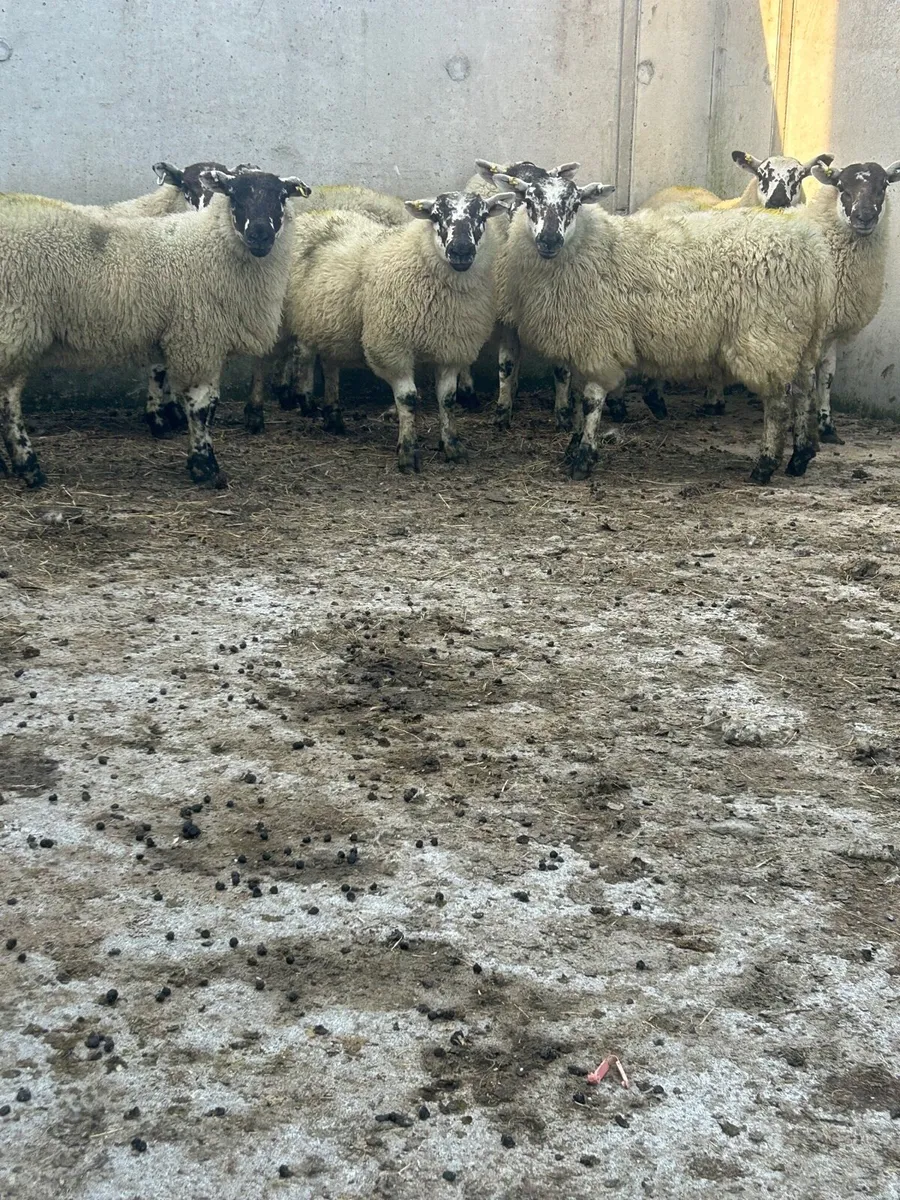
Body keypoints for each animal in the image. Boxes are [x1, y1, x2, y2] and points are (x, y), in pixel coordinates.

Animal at [0, 169, 309, 488]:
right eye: (234, 195)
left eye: (281, 196)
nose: (259, 234)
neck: (210, 246)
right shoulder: (197, 337)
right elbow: (202, 406)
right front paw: (205, 467)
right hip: (16, 326)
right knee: (9, 401)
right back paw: (28, 467)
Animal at [279, 189, 513, 469]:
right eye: (436, 216)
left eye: (483, 215)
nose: (461, 251)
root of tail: (316, 214)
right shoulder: (392, 347)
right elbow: (408, 398)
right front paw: (408, 452)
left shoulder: (451, 348)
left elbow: (447, 399)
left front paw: (452, 446)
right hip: (302, 315)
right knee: (302, 354)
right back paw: (304, 400)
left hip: (331, 322)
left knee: (329, 363)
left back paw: (333, 417)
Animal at [493, 168, 835, 484]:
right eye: (529, 201)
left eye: (575, 204)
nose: (549, 240)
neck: (590, 246)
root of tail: (813, 250)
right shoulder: (582, 343)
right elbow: (578, 399)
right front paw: (573, 446)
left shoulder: (600, 339)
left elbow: (591, 402)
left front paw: (583, 458)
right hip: (801, 336)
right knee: (804, 390)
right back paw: (800, 456)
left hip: (768, 337)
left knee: (778, 402)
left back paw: (765, 466)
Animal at [804, 159, 900, 443]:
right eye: (842, 187)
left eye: (884, 186)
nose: (865, 217)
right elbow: (808, 377)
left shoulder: (832, 329)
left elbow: (827, 376)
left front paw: (827, 427)